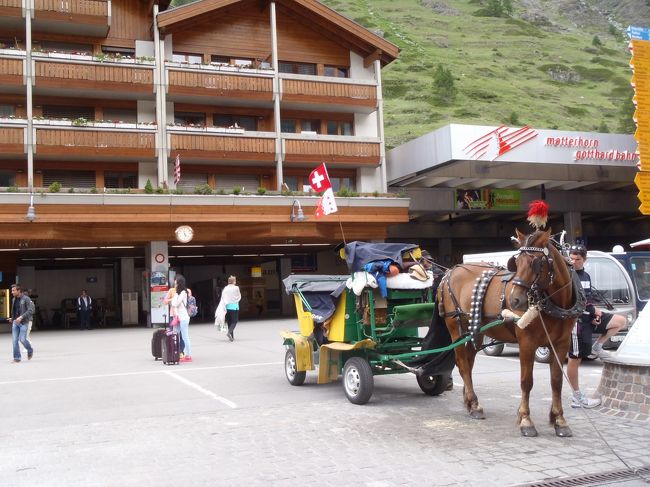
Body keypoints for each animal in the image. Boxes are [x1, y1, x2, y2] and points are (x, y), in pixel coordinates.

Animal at [436, 229, 584, 438]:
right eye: (517, 262)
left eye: (536, 263)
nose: (515, 300)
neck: (553, 304)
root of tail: (450, 271)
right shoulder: (527, 342)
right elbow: (526, 381)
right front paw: (526, 420)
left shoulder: (561, 344)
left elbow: (557, 381)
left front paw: (559, 420)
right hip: (455, 326)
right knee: (463, 364)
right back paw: (474, 404)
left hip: (475, 330)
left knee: (469, 362)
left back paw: (470, 401)